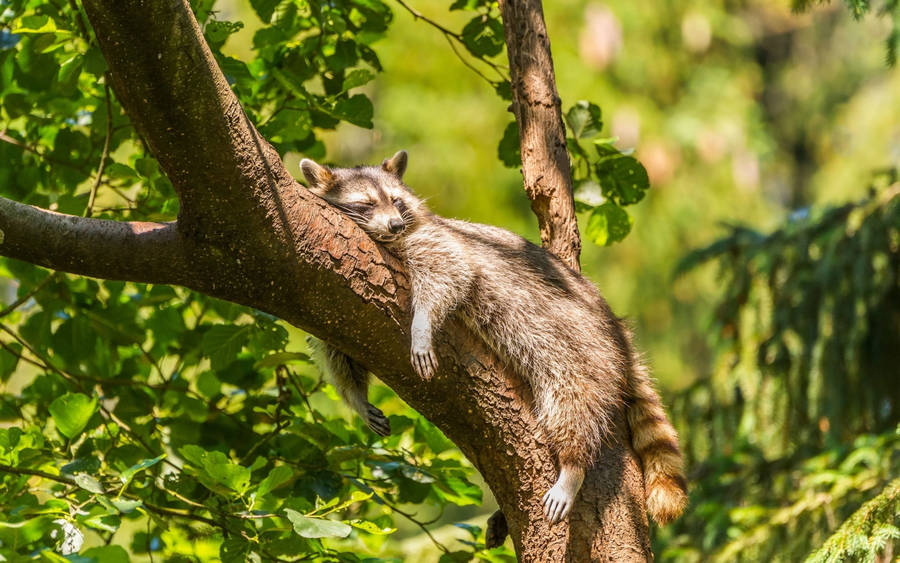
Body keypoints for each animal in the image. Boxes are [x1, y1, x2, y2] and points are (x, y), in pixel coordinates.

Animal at [301, 151, 688, 525]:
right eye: (366, 204)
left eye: (396, 202)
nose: (395, 224)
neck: (391, 237)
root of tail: (614, 326)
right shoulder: (334, 294)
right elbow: (337, 346)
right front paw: (356, 397)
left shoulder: (435, 241)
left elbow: (451, 272)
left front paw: (421, 326)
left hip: (581, 343)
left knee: (573, 399)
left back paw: (573, 464)